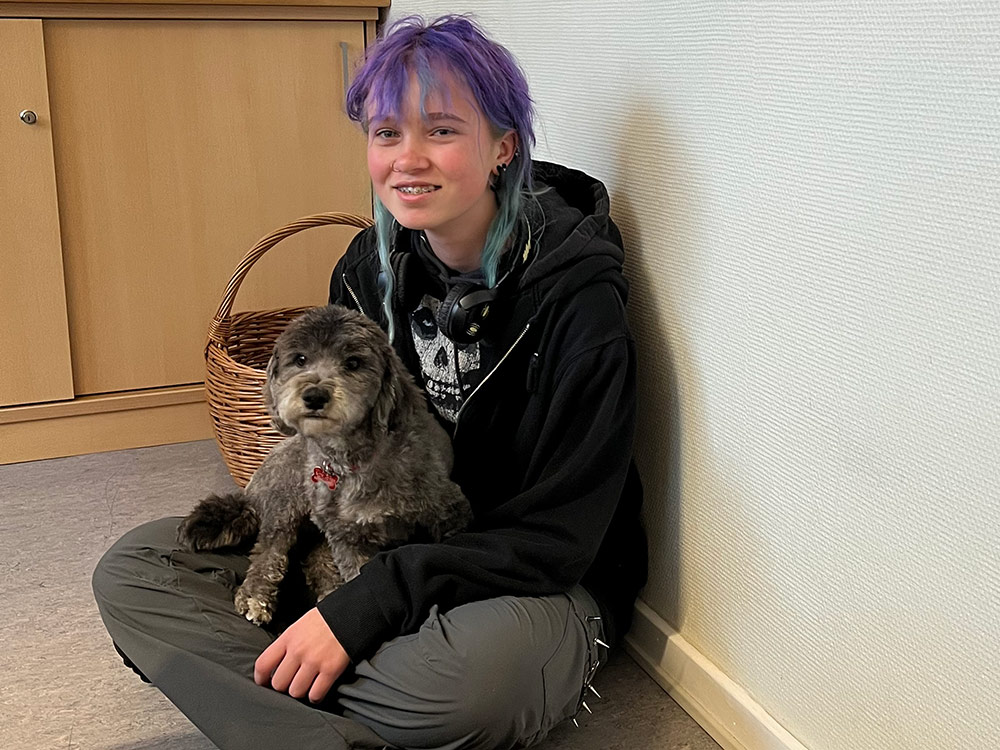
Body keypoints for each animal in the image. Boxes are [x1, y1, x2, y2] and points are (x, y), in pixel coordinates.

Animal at [178, 304, 472, 625]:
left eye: (353, 362)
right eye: (300, 359)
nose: (314, 396)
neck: (351, 463)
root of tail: (249, 492)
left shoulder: (447, 510)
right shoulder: (348, 541)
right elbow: (355, 575)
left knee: (314, 560)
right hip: (286, 505)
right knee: (268, 550)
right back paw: (256, 596)